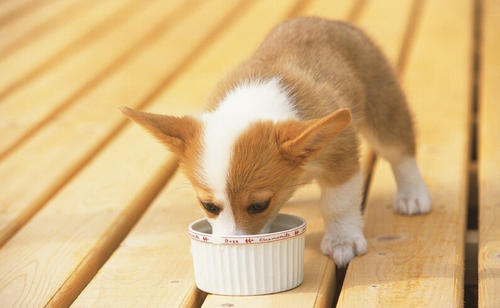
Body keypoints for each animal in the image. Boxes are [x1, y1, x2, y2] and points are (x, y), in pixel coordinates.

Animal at [120, 17, 430, 268]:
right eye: (209, 206)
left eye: (259, 205)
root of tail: (326, 21)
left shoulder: (341, 159)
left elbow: (338, 204)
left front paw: (342, 240)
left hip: (384, 108)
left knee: (400, 152)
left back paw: (413, 195)